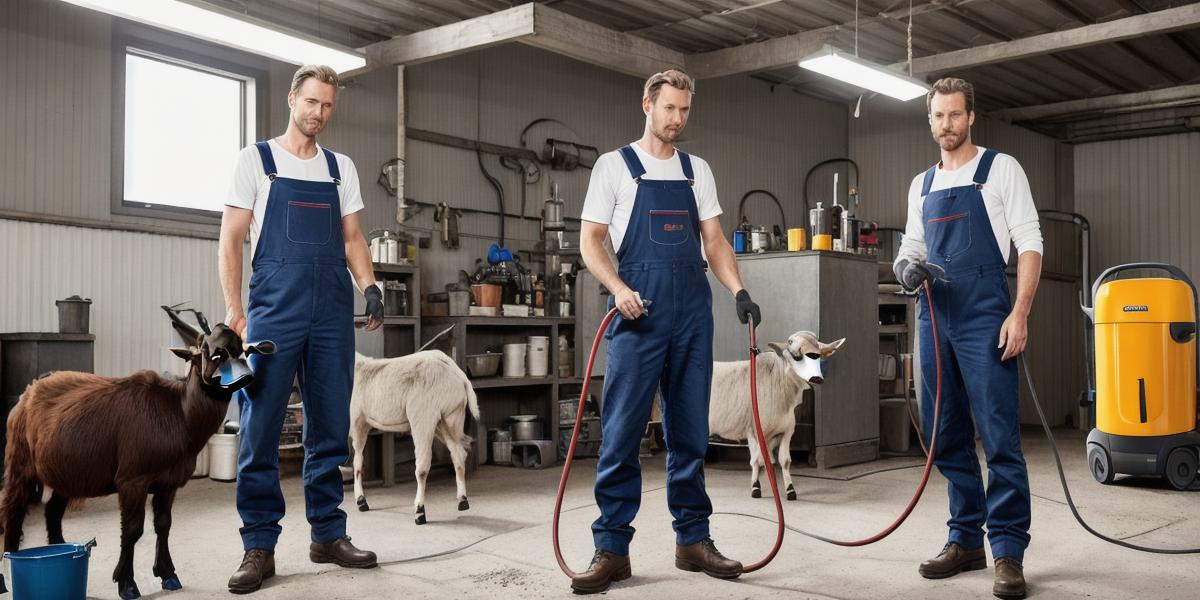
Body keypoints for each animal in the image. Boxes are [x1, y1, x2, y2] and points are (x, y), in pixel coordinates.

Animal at [0, 321, 274, 597]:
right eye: (207, 351)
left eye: (241, 350)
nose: (243, 377)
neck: (180, 414)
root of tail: (30, 390)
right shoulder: (133, 479)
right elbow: (132, 530)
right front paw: (127, 583)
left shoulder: (168, 482)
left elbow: (163, 524)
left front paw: (168, 574)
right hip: (19, 462)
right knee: (12, 510)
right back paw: (8, 569)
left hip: (66, 470)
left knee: (53, 512)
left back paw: (61, 549)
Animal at [350, 350, 480, 525]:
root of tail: (456, 372)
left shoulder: (357, 421)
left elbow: (357, 463)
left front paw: (361, 501)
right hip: (451, 418)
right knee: (459, 455)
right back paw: (462, 501)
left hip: (423, 417)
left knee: (422, 467)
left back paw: (419, 511)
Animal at [710, 333, 844, 501]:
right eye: (796, 356)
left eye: (818, 355)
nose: (817, 378)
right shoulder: (756, 431)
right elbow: (757, 460)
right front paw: (756, 487)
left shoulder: (787, 431)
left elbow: (783, 461)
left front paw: (790, 490)